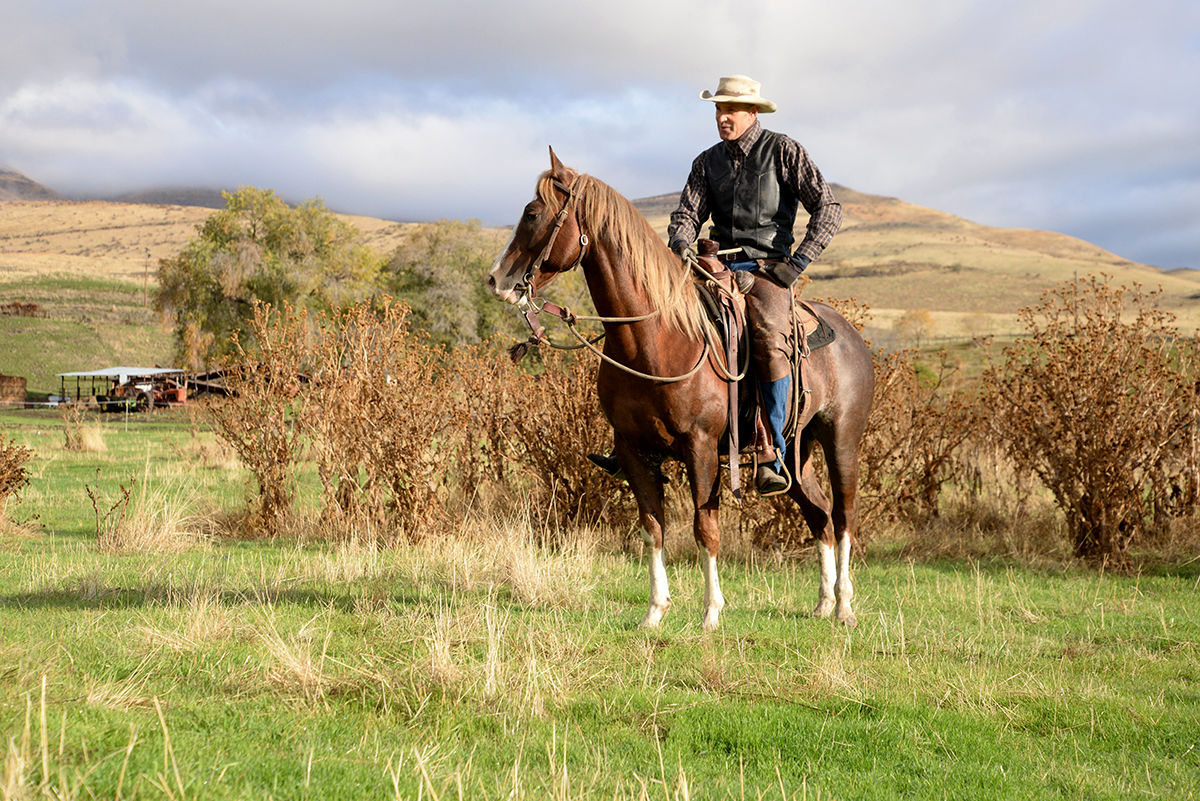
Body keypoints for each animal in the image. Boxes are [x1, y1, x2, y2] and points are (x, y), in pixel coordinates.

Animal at [484, 146, 873, 628]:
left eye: (533, 212)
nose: (496, 280)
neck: (654, 337)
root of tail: (851, 335)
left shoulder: (701, 447)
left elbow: (705, 530)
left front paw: (711, 613)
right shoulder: (633, 449)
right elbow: (653, 529)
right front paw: (655, 610)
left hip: (842, 441)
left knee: (843, 515)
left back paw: (844, 604)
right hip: (795, 456)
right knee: (818, 514)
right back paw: (822, 603)